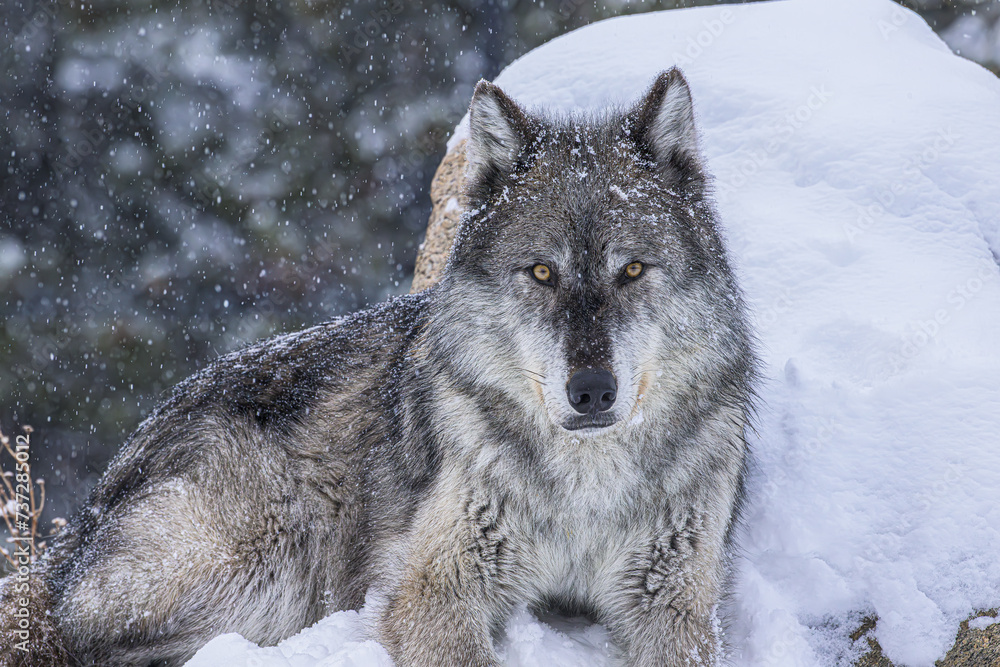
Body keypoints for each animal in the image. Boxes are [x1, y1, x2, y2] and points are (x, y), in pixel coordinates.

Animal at [0, 67, 755, 666]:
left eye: (632, 270)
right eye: (542, 272)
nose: (592, 392)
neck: (584, 486)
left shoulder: (673, 602)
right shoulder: (434, 588)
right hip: (265, 566)